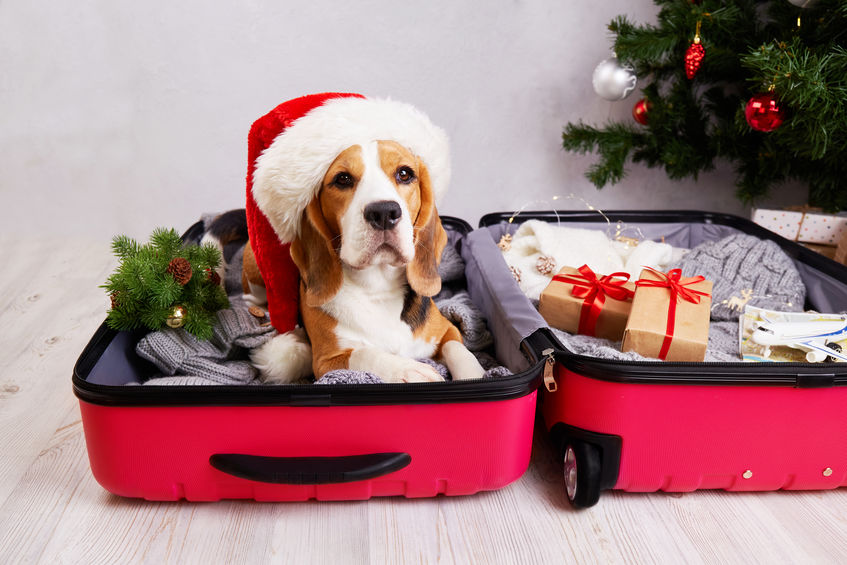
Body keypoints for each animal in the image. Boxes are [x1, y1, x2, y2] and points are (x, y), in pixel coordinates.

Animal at [247, 139, 484, 384]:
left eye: (404, 174)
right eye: (342, 179)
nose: (384, 212)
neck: (378, 287)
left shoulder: (448, 330)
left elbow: (460, 351)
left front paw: (473, 376)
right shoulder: (326, 361)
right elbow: (366, 354)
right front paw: (410, 371)